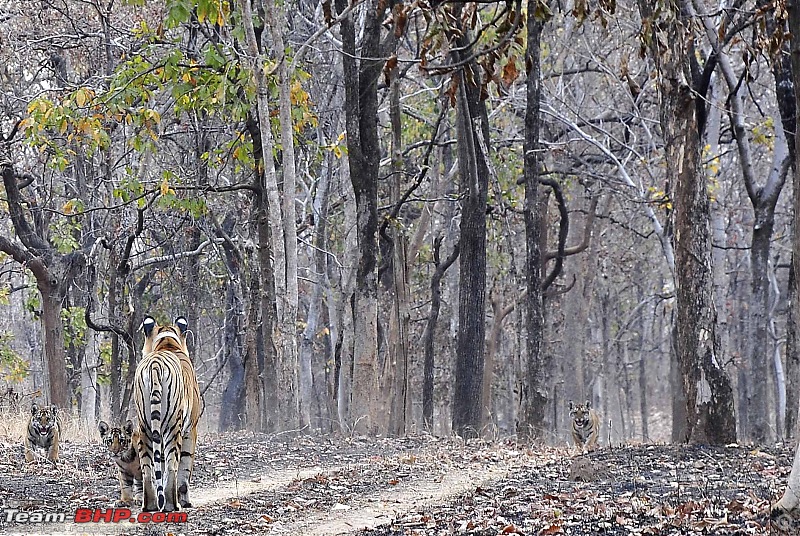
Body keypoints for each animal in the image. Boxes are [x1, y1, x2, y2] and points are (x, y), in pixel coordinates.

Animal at [134, 316, 200, 512]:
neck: (167, 343)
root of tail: (155, 364)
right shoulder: (191, 429)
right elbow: (185, 466)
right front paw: (186, 500)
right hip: (173, 426)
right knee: (172, 465)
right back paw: (172, 504)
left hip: (145, 426)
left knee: (148, 467)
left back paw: (150, 505)